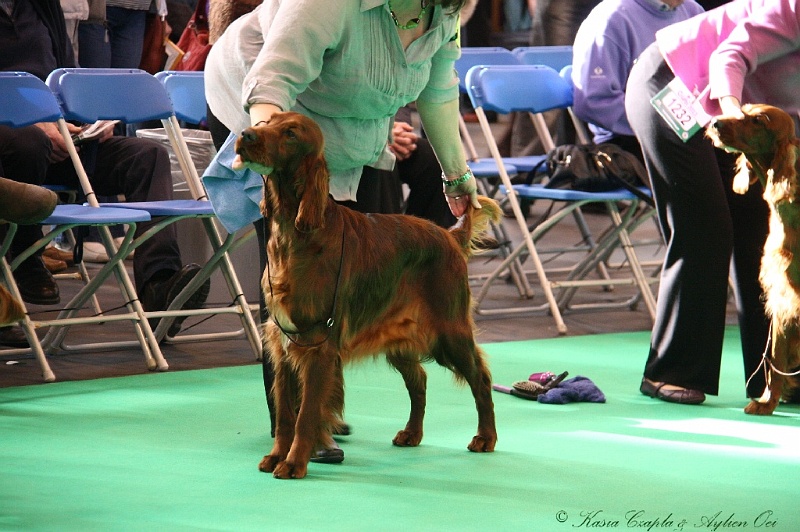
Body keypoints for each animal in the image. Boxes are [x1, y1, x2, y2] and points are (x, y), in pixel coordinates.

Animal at [233, 111, 500, 478]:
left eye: (290, 133)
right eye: (267, 121)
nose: (246, 134)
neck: (294, 232)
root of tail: (449, 235)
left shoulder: (317, 344)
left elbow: (305, 414)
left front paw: (294, 463)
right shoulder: (282, 344)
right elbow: (286, 413)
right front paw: (276, 456)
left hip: (448, 333)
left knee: (480, 377)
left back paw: (485, 437)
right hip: (400, 337)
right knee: (419, 379)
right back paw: (412, 433)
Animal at [708, 102, 800, 414]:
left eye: (759, 120)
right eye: (742, 109)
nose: (715, 122)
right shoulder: (781, 297)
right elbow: (775, 358)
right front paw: (766, 401)